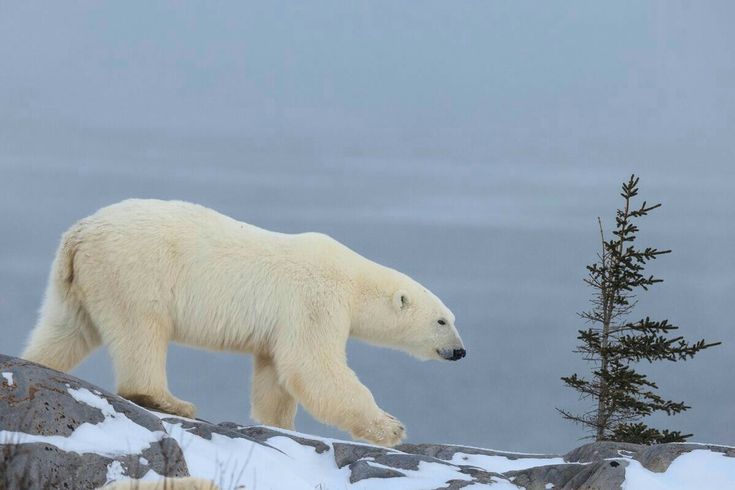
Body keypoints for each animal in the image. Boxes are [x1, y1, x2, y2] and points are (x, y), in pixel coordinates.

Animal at [21, 199, 466, 448]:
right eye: (442, 320)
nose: (460, 351)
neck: (355, 280)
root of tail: (80, 232)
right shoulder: (317, 300)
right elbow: (313, 365)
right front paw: (391, 428)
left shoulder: (282, 324)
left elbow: (276, 375)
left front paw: (281, 425)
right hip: (135, 270)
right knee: (141, 329)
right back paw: (168, 399)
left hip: (78, 279)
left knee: (66, 330)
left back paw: (40, 364)